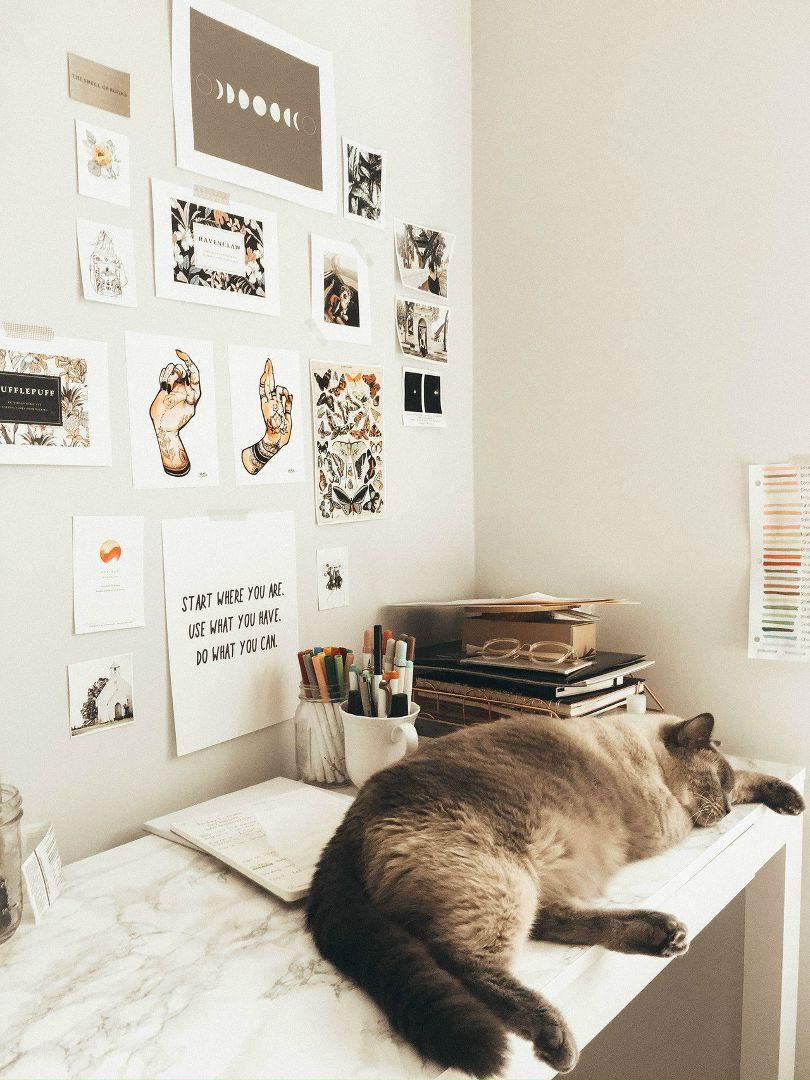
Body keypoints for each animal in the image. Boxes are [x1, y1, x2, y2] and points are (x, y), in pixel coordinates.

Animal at [307, 711, 804, 1078]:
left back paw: (662, 934)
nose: (726, 812)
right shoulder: (672, 819)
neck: (637, 747)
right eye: (713, 784)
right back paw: (557, 1038)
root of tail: (347, 824)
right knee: (459, 958)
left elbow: (751, 775)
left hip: (525, 883)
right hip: (503, 881)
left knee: (553, 922)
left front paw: (791, 800)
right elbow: (736, 782)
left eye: (724, 790)